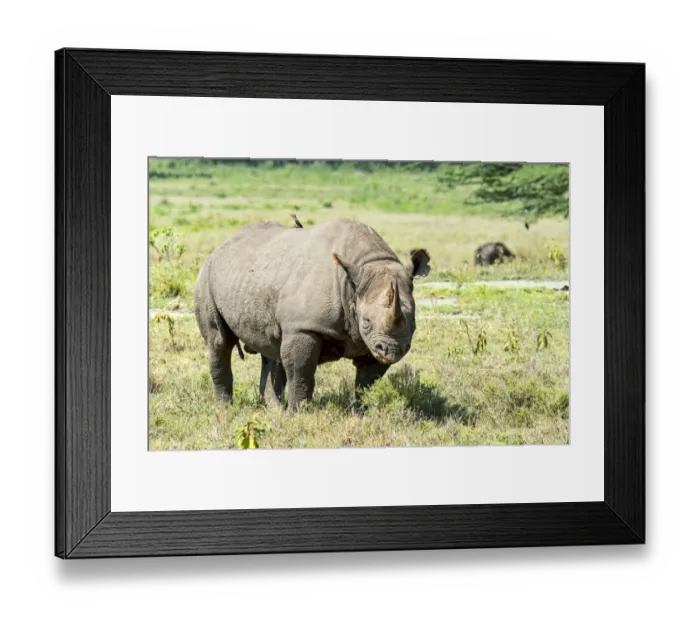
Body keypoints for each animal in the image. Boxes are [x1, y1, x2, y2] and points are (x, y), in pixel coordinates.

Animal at [193, 218, 431, 413]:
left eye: (413, 322)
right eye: (366, 323)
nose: (393, 350)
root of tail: (221, 246)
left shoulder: (373, 343)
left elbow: (366, 382)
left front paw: (359, 412)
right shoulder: (303, 326)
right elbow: (301, 373)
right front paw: (298, 414)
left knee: (270, 350)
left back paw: (274, 410)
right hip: (207, 275)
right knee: (219, 342)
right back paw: (224, 409)